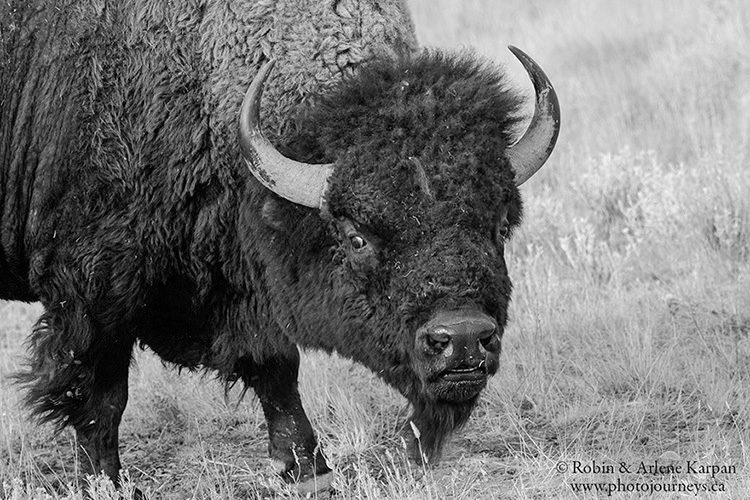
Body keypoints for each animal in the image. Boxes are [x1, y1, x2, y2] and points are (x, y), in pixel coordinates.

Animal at [0, 0, 560, 494]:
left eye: (499, 226)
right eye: (356, 237)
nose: (463, 340)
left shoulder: (246, 292)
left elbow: (275, 368)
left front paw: (308, 469)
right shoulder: (93, 292)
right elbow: (100, 396)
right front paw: (104, 482)